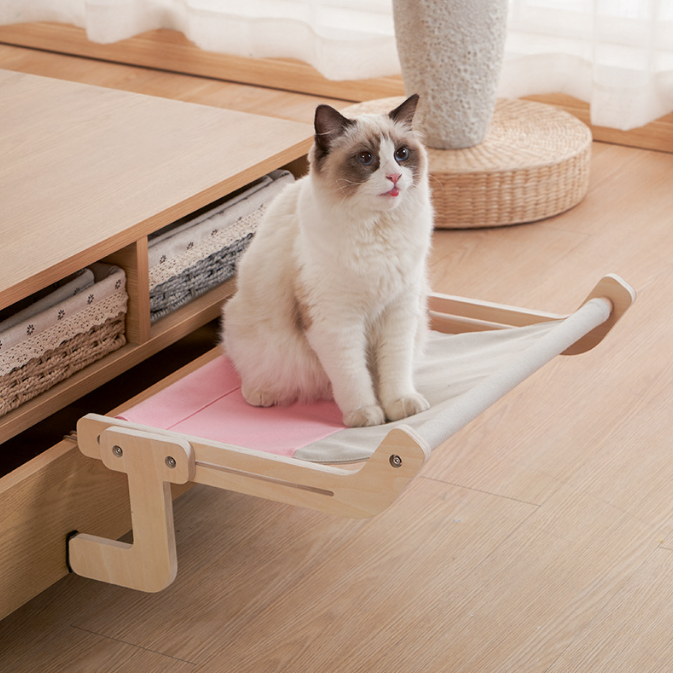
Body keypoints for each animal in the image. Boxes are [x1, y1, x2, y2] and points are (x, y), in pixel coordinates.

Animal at [218, 95, 434, 428]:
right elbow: (352, 375)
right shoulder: (335, 320)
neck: (377, 231)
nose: (395, 177)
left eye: (402, 154)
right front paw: (365, 416)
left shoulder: (400, 310)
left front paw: (399, 407)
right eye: (366, 159)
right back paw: (261, 393)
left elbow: (395, 370)